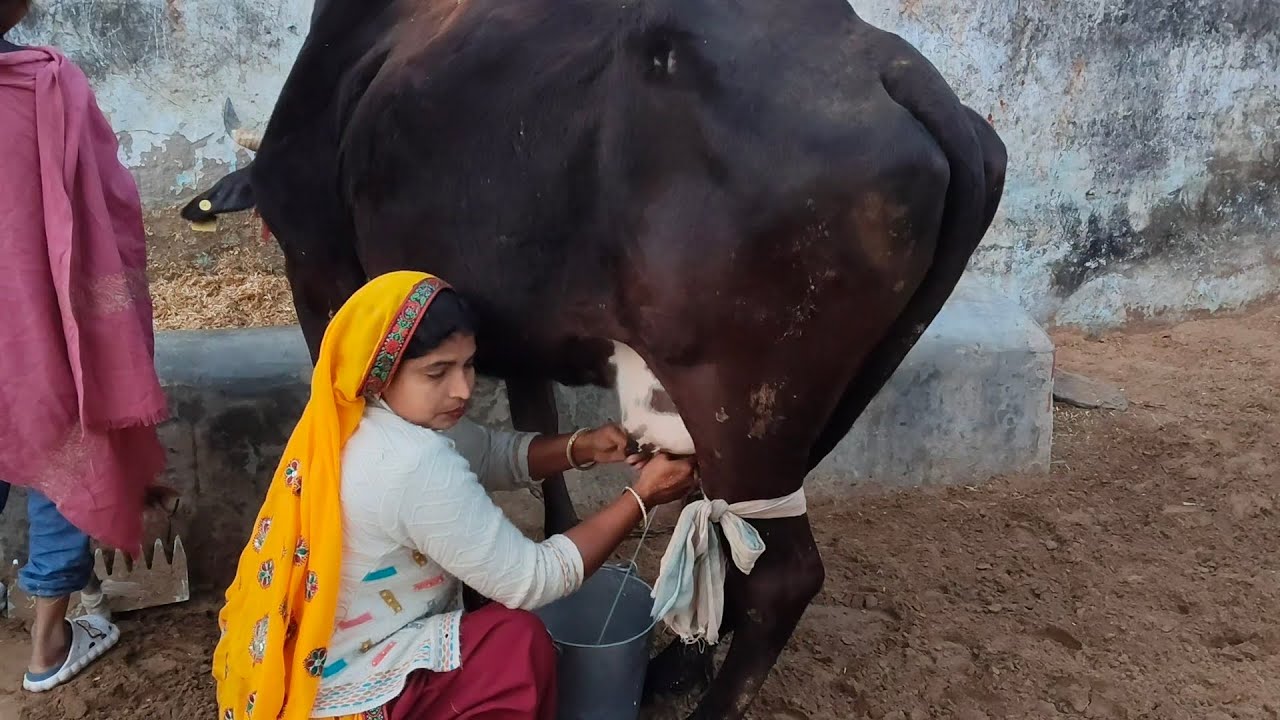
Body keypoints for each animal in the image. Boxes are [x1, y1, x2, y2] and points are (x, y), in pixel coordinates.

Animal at [180, 0, 1007, 716]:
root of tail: (886, 60)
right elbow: (537, 425)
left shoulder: (319, 271)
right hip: (823, 399)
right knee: (734, 534)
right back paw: (674, 665)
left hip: (743, 398)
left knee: (781, 575)